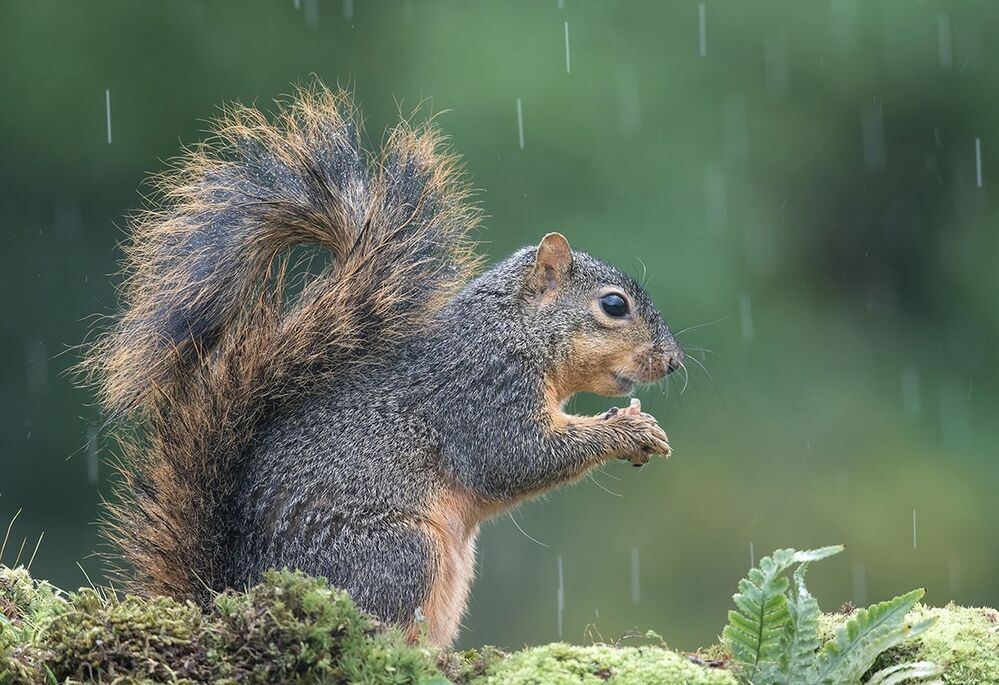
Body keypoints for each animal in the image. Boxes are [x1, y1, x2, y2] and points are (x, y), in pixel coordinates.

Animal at [85, 83, 684, 646]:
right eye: (614, 305)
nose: (674, 362)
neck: (515, 332)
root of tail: (230, 594)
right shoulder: (483, 391)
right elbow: (515, 457)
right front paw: (627, 429)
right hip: (399, 552)